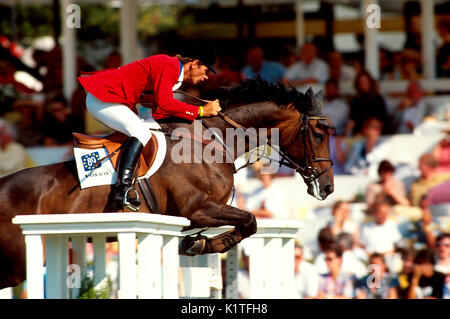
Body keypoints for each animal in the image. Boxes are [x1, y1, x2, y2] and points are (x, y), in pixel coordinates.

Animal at [0, 78, 330, 290]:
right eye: (318, 135)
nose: (327, 188)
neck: (213, 142)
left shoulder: (199, 214)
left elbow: (247, 224)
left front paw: (198, 243)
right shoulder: (196, 209)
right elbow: (249, 221)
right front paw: (201, 244)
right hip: (19, 260)